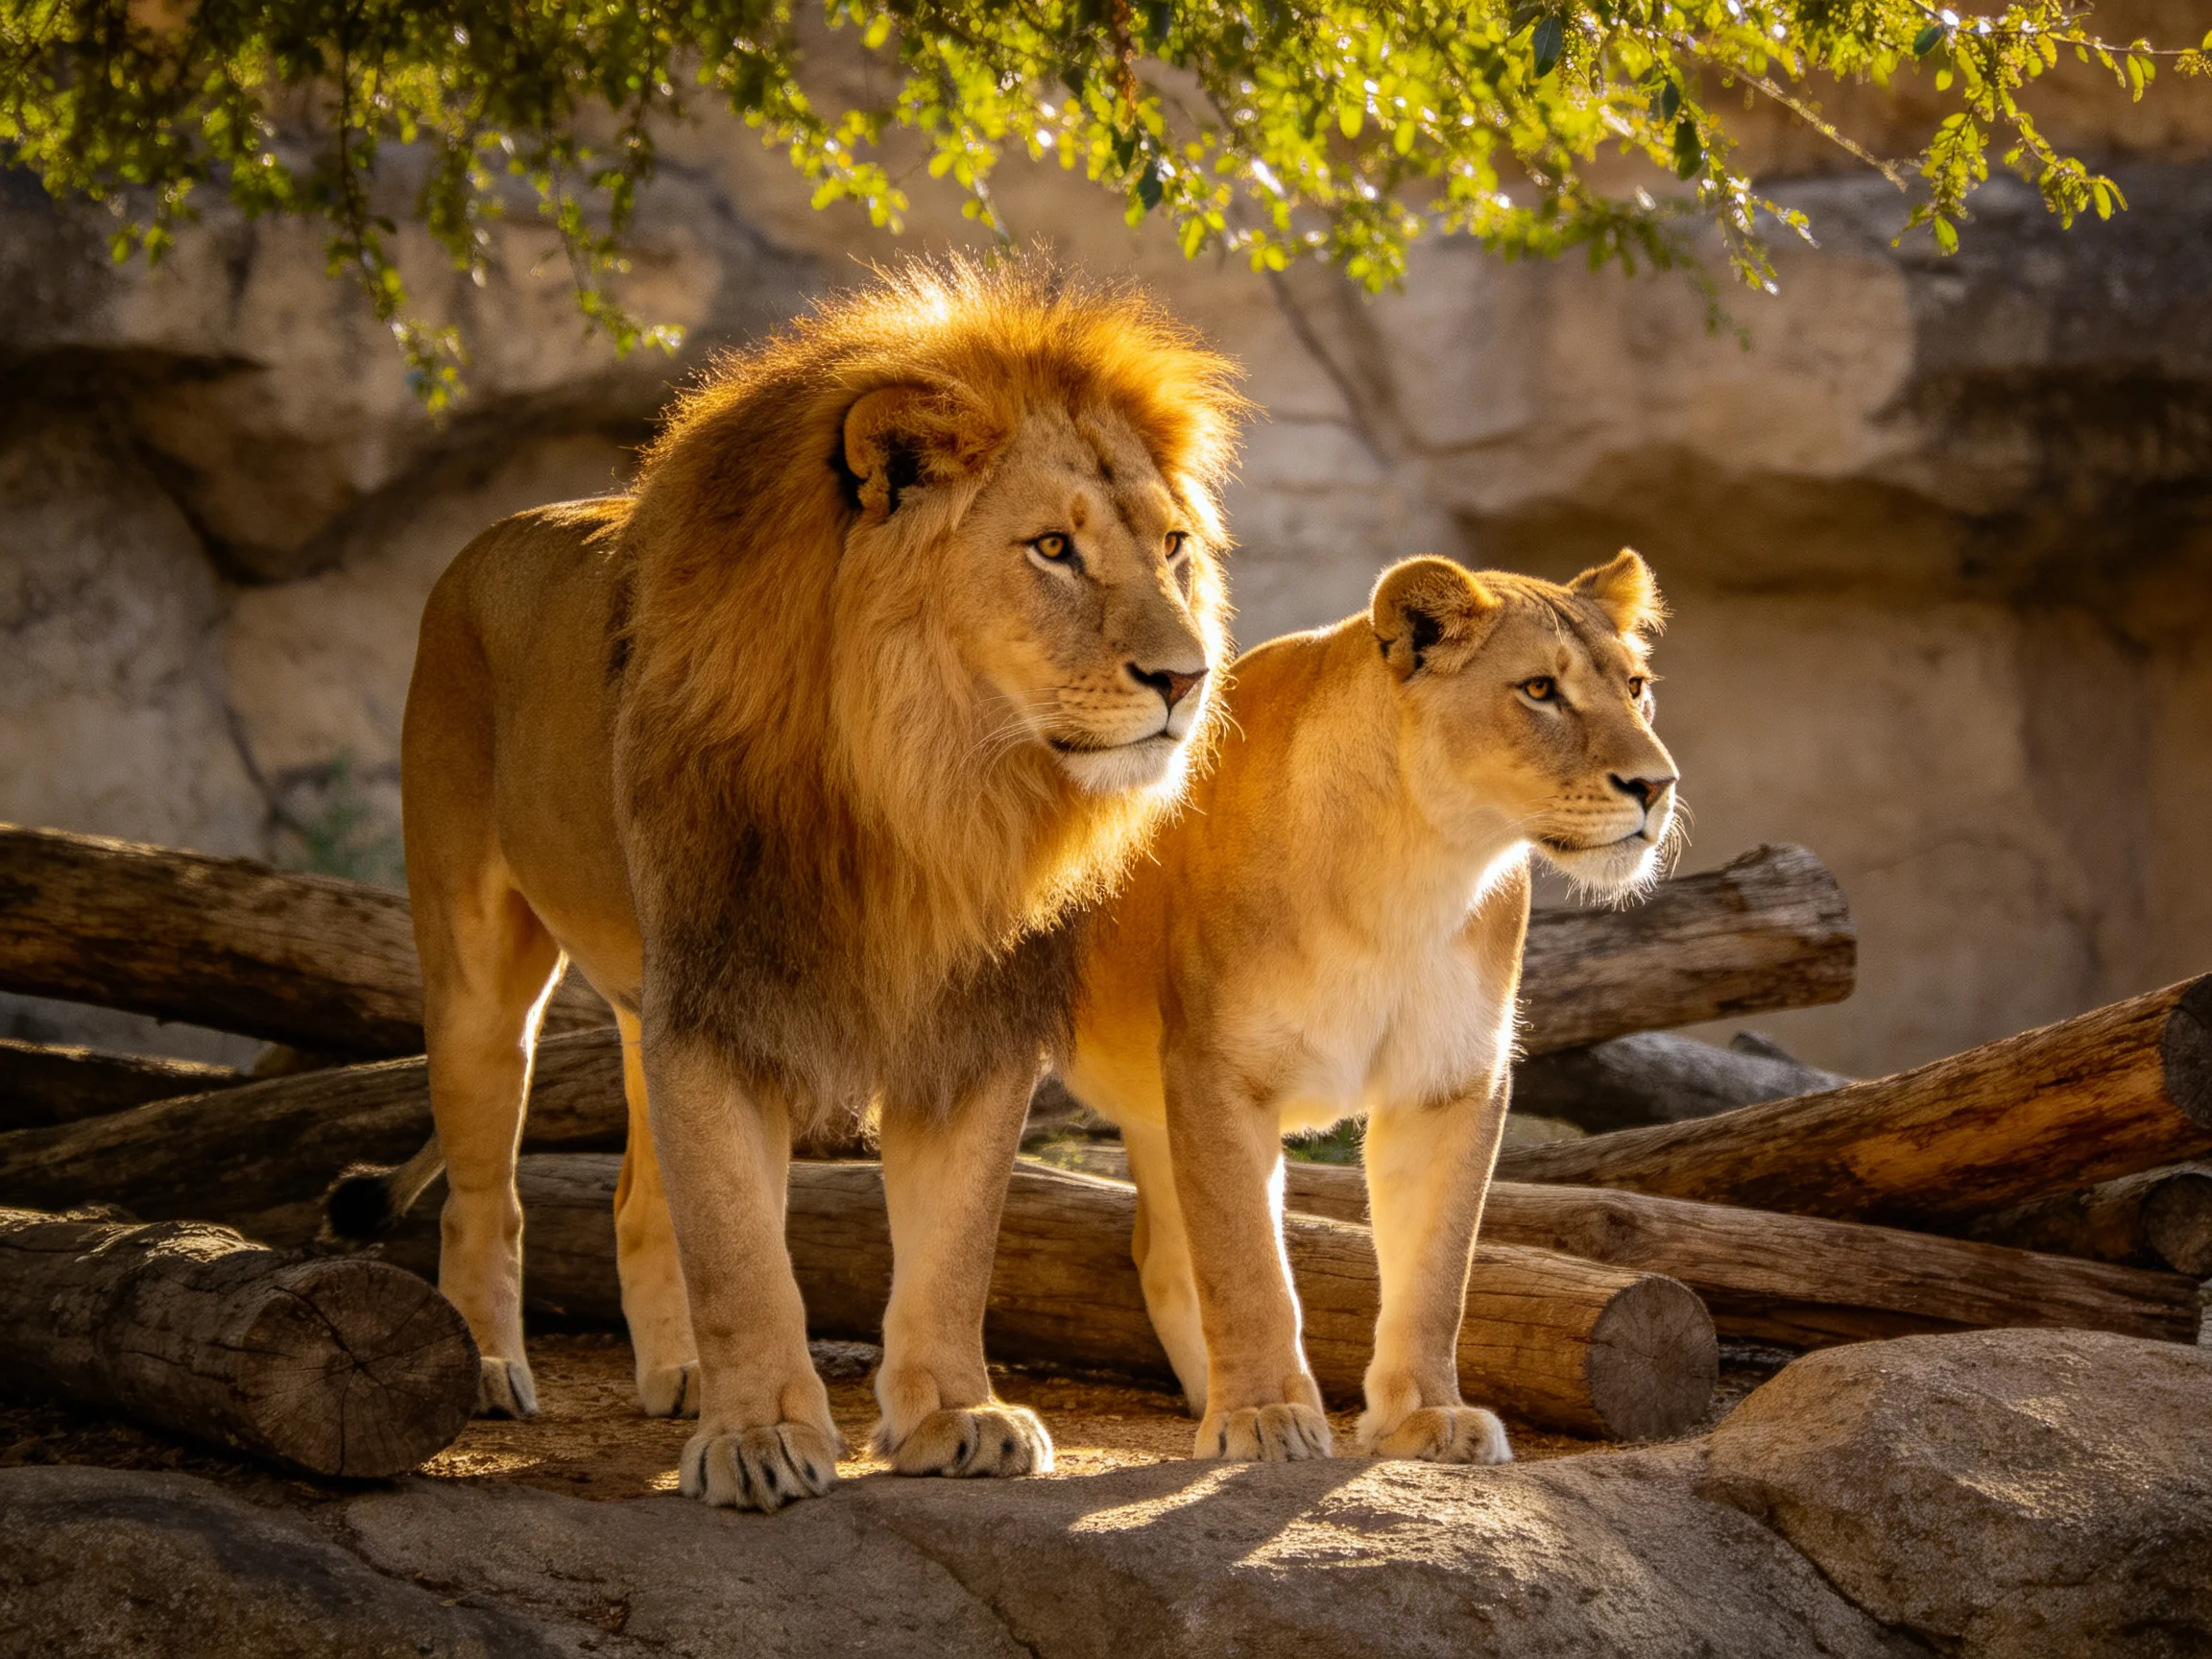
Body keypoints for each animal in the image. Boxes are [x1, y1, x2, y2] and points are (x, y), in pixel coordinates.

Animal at [326, 259, 1244, 1510]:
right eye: (1052, 548)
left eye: (1174, 547)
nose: (1186, 679)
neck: (927, 792)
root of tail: (488, 542)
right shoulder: (719, 1002)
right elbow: (741, 1248)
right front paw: (759, 1435)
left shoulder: (967, 1020)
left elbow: (954, 1242)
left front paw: (954, 1414)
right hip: (476, 967)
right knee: (486, 1192)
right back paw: (483, 1366)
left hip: (641, 991)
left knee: (634, 1195)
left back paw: (674, 1375)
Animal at [1057, 551, 1677, 1463]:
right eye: (1539, 690)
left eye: (1635, 687)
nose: (1657, 786)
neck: (1416, 868)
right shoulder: (1216, 1071)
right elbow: (1246, 1262)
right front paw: (1262, 1414)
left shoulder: (1449, 1084)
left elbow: (1436, 1271)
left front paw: (1428, 1414)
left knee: (1160, 1252)